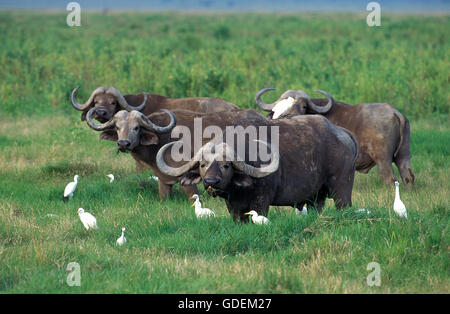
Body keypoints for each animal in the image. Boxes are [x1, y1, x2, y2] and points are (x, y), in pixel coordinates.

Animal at [156, 114, 360, 221]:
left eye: (226, 165)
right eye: (202, 164)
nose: (211, 181)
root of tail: (342, 133)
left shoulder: (261, 201)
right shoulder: (234, 207)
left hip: (342, 190)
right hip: (316, 197)